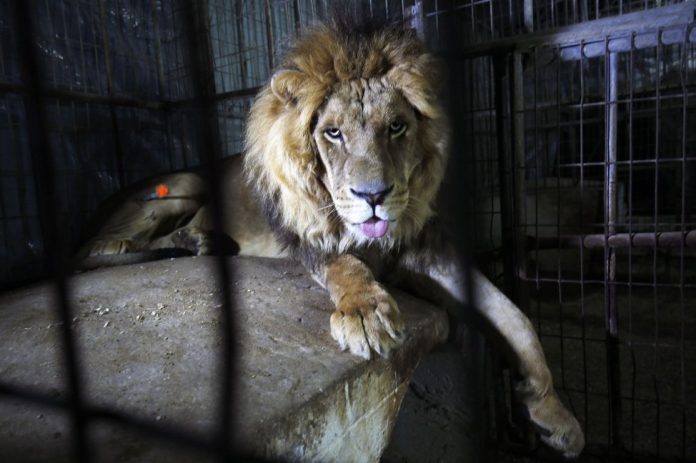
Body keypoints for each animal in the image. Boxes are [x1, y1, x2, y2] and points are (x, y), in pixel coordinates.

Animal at [75, 19, 584, 458]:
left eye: (396, 126)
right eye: (333, 133)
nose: (373, 195)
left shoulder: (430, 254)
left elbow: (517, 319)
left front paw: (554, 415)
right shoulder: (311, 243)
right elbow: (346, 266)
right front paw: (365, 314)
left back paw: (203, 240)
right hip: (184, 183)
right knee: (101, 249)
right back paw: (186, 244)